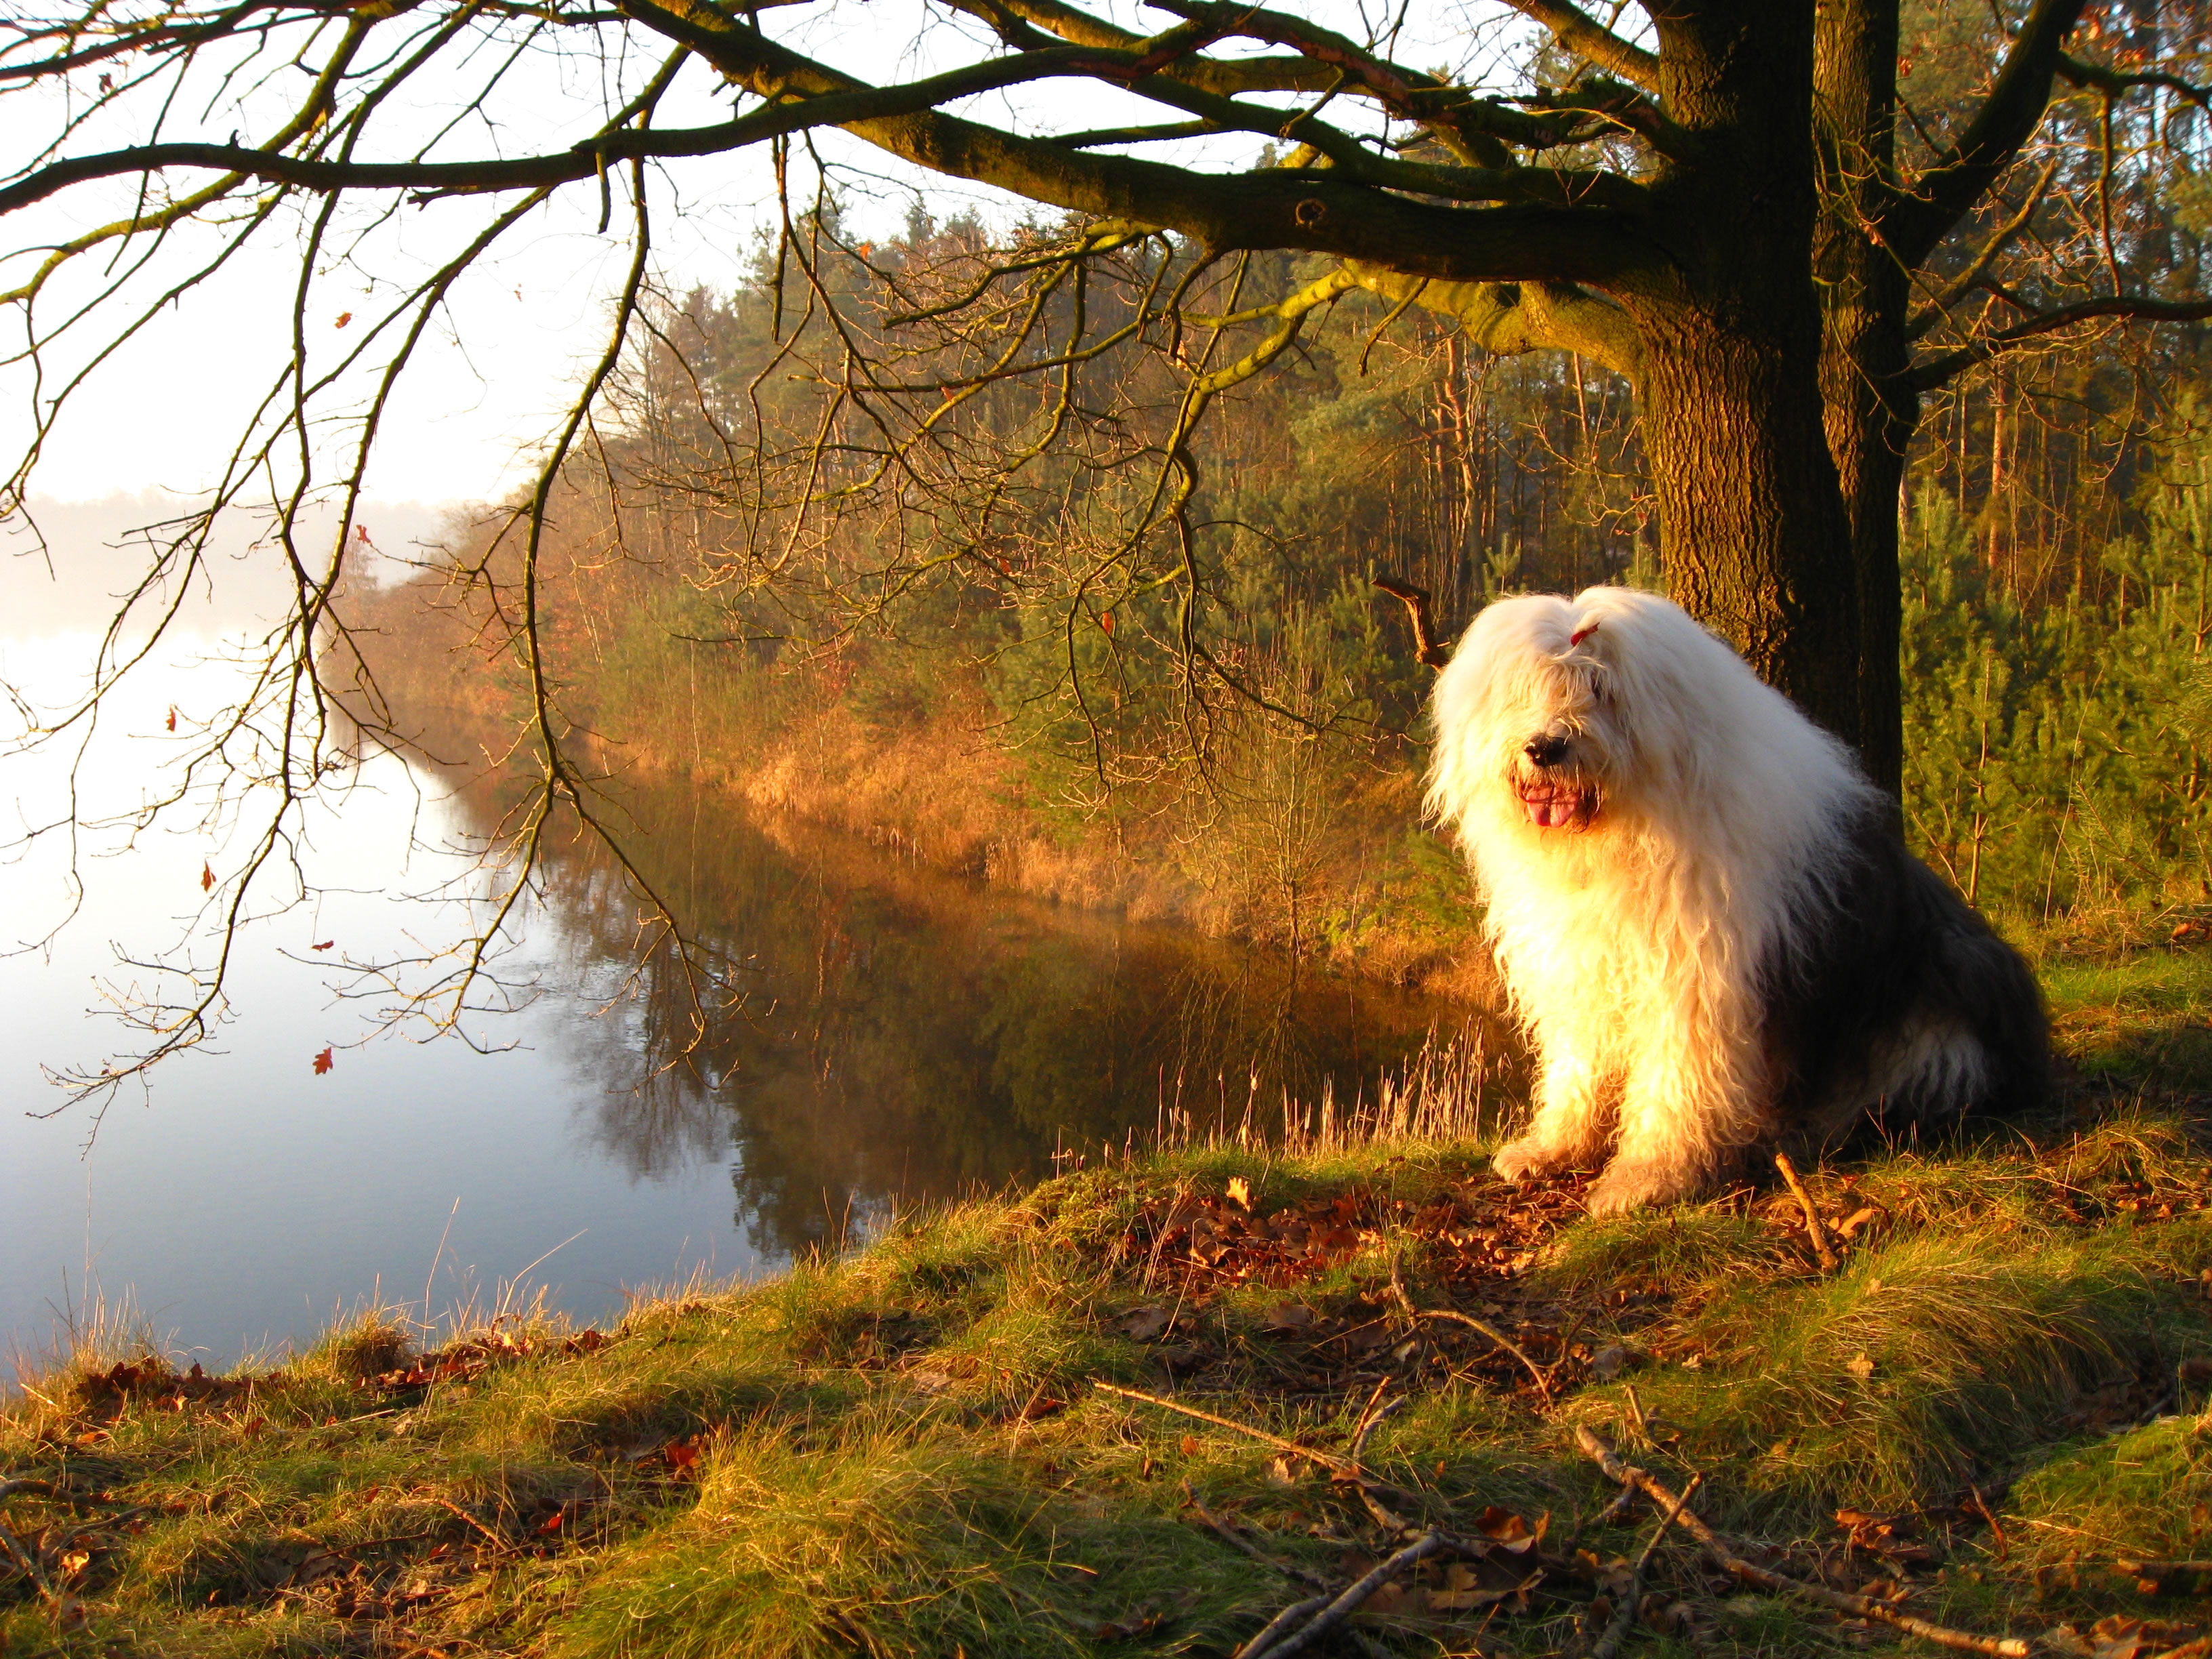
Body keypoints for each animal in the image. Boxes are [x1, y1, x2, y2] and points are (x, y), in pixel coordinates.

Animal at [1425, 592, 2043, 1212]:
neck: (1618, 837)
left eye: (1601, 688)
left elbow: (1677, 1077)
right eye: (1524, 688)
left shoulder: (1696, 978)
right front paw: (1555, 1147)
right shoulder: (1582, 968)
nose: (1544, 747)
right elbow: (1582, 1063)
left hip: (1937, 1017)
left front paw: (1648, 1177)